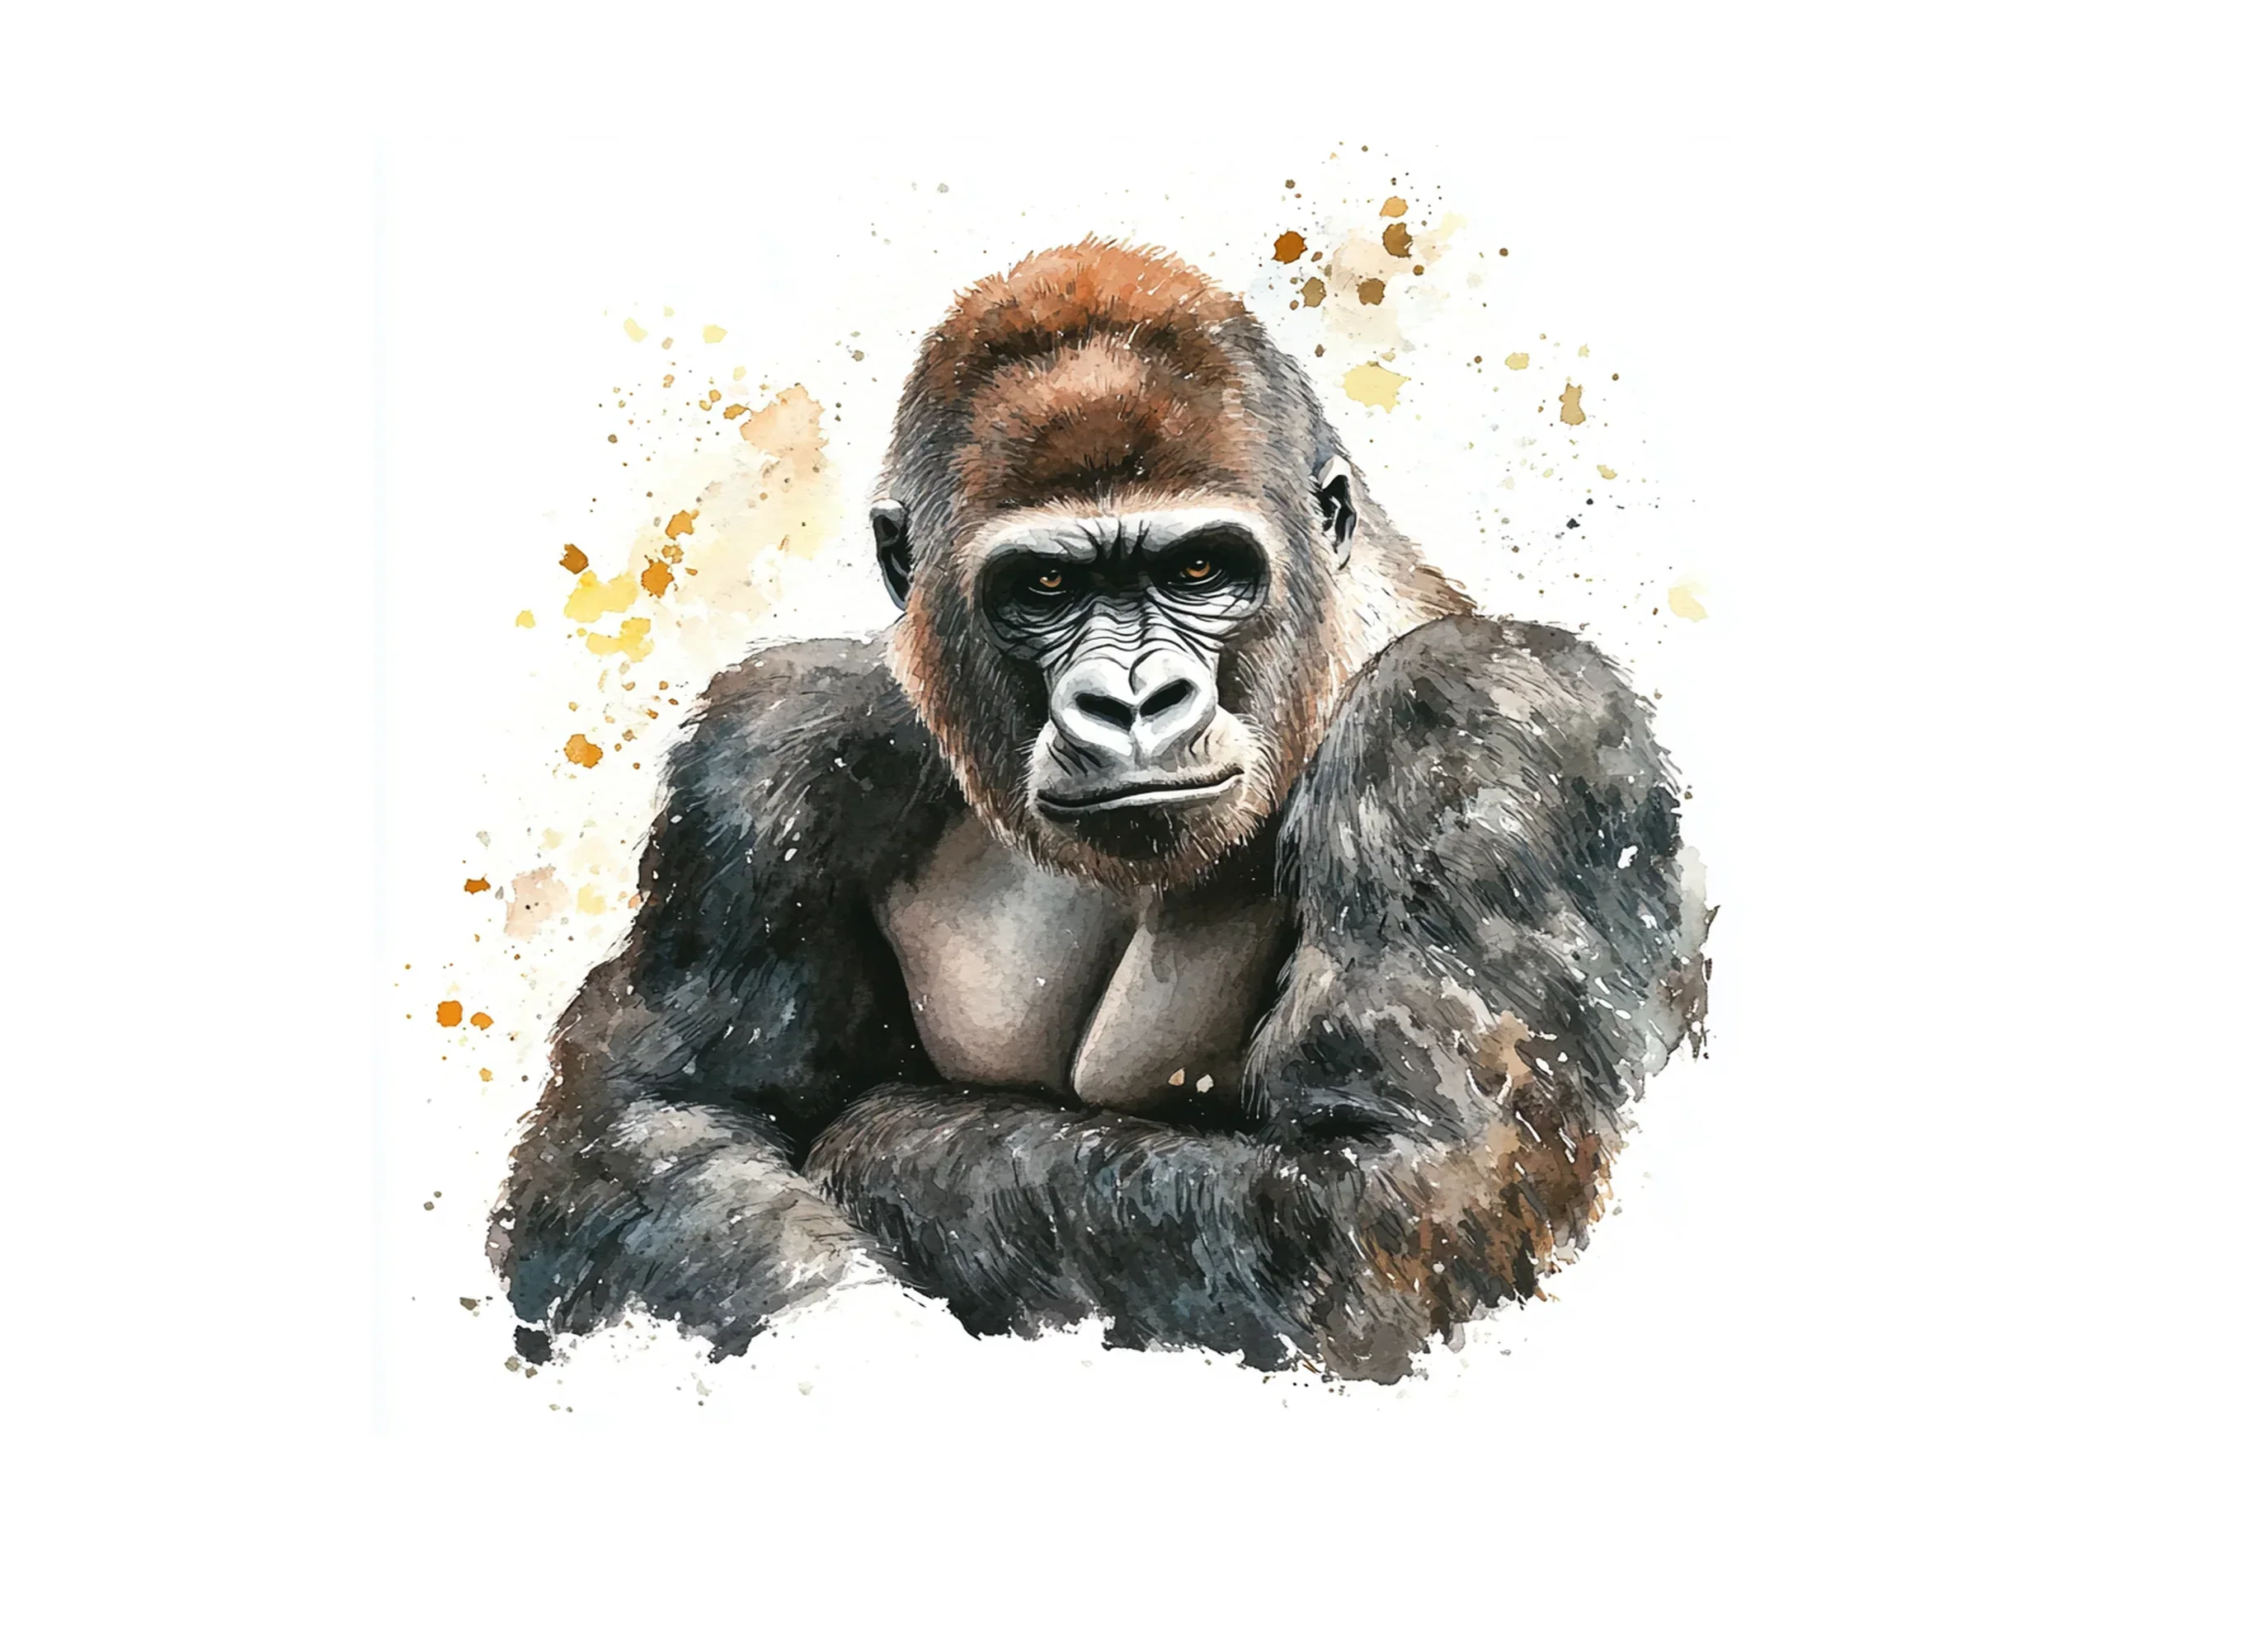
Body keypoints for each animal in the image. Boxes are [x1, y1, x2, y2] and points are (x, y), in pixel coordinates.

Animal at [491, 238, 1709, 1382]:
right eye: (1046, 588)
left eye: (1202, 570)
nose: (1130, 701)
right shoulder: (772, 755)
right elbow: (646, 1118)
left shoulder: (1483, 723)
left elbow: (1384, 1215)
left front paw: (882, 1149)